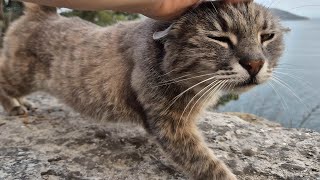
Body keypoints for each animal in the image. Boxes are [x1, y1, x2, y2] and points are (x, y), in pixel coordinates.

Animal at [0, 1, 284, 179]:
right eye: (219, 38)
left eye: (266, 36)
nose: (254, 63)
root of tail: (43, 14)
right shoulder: (170, 124)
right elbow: (206, 163)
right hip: (20, 74)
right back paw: (14, 105)